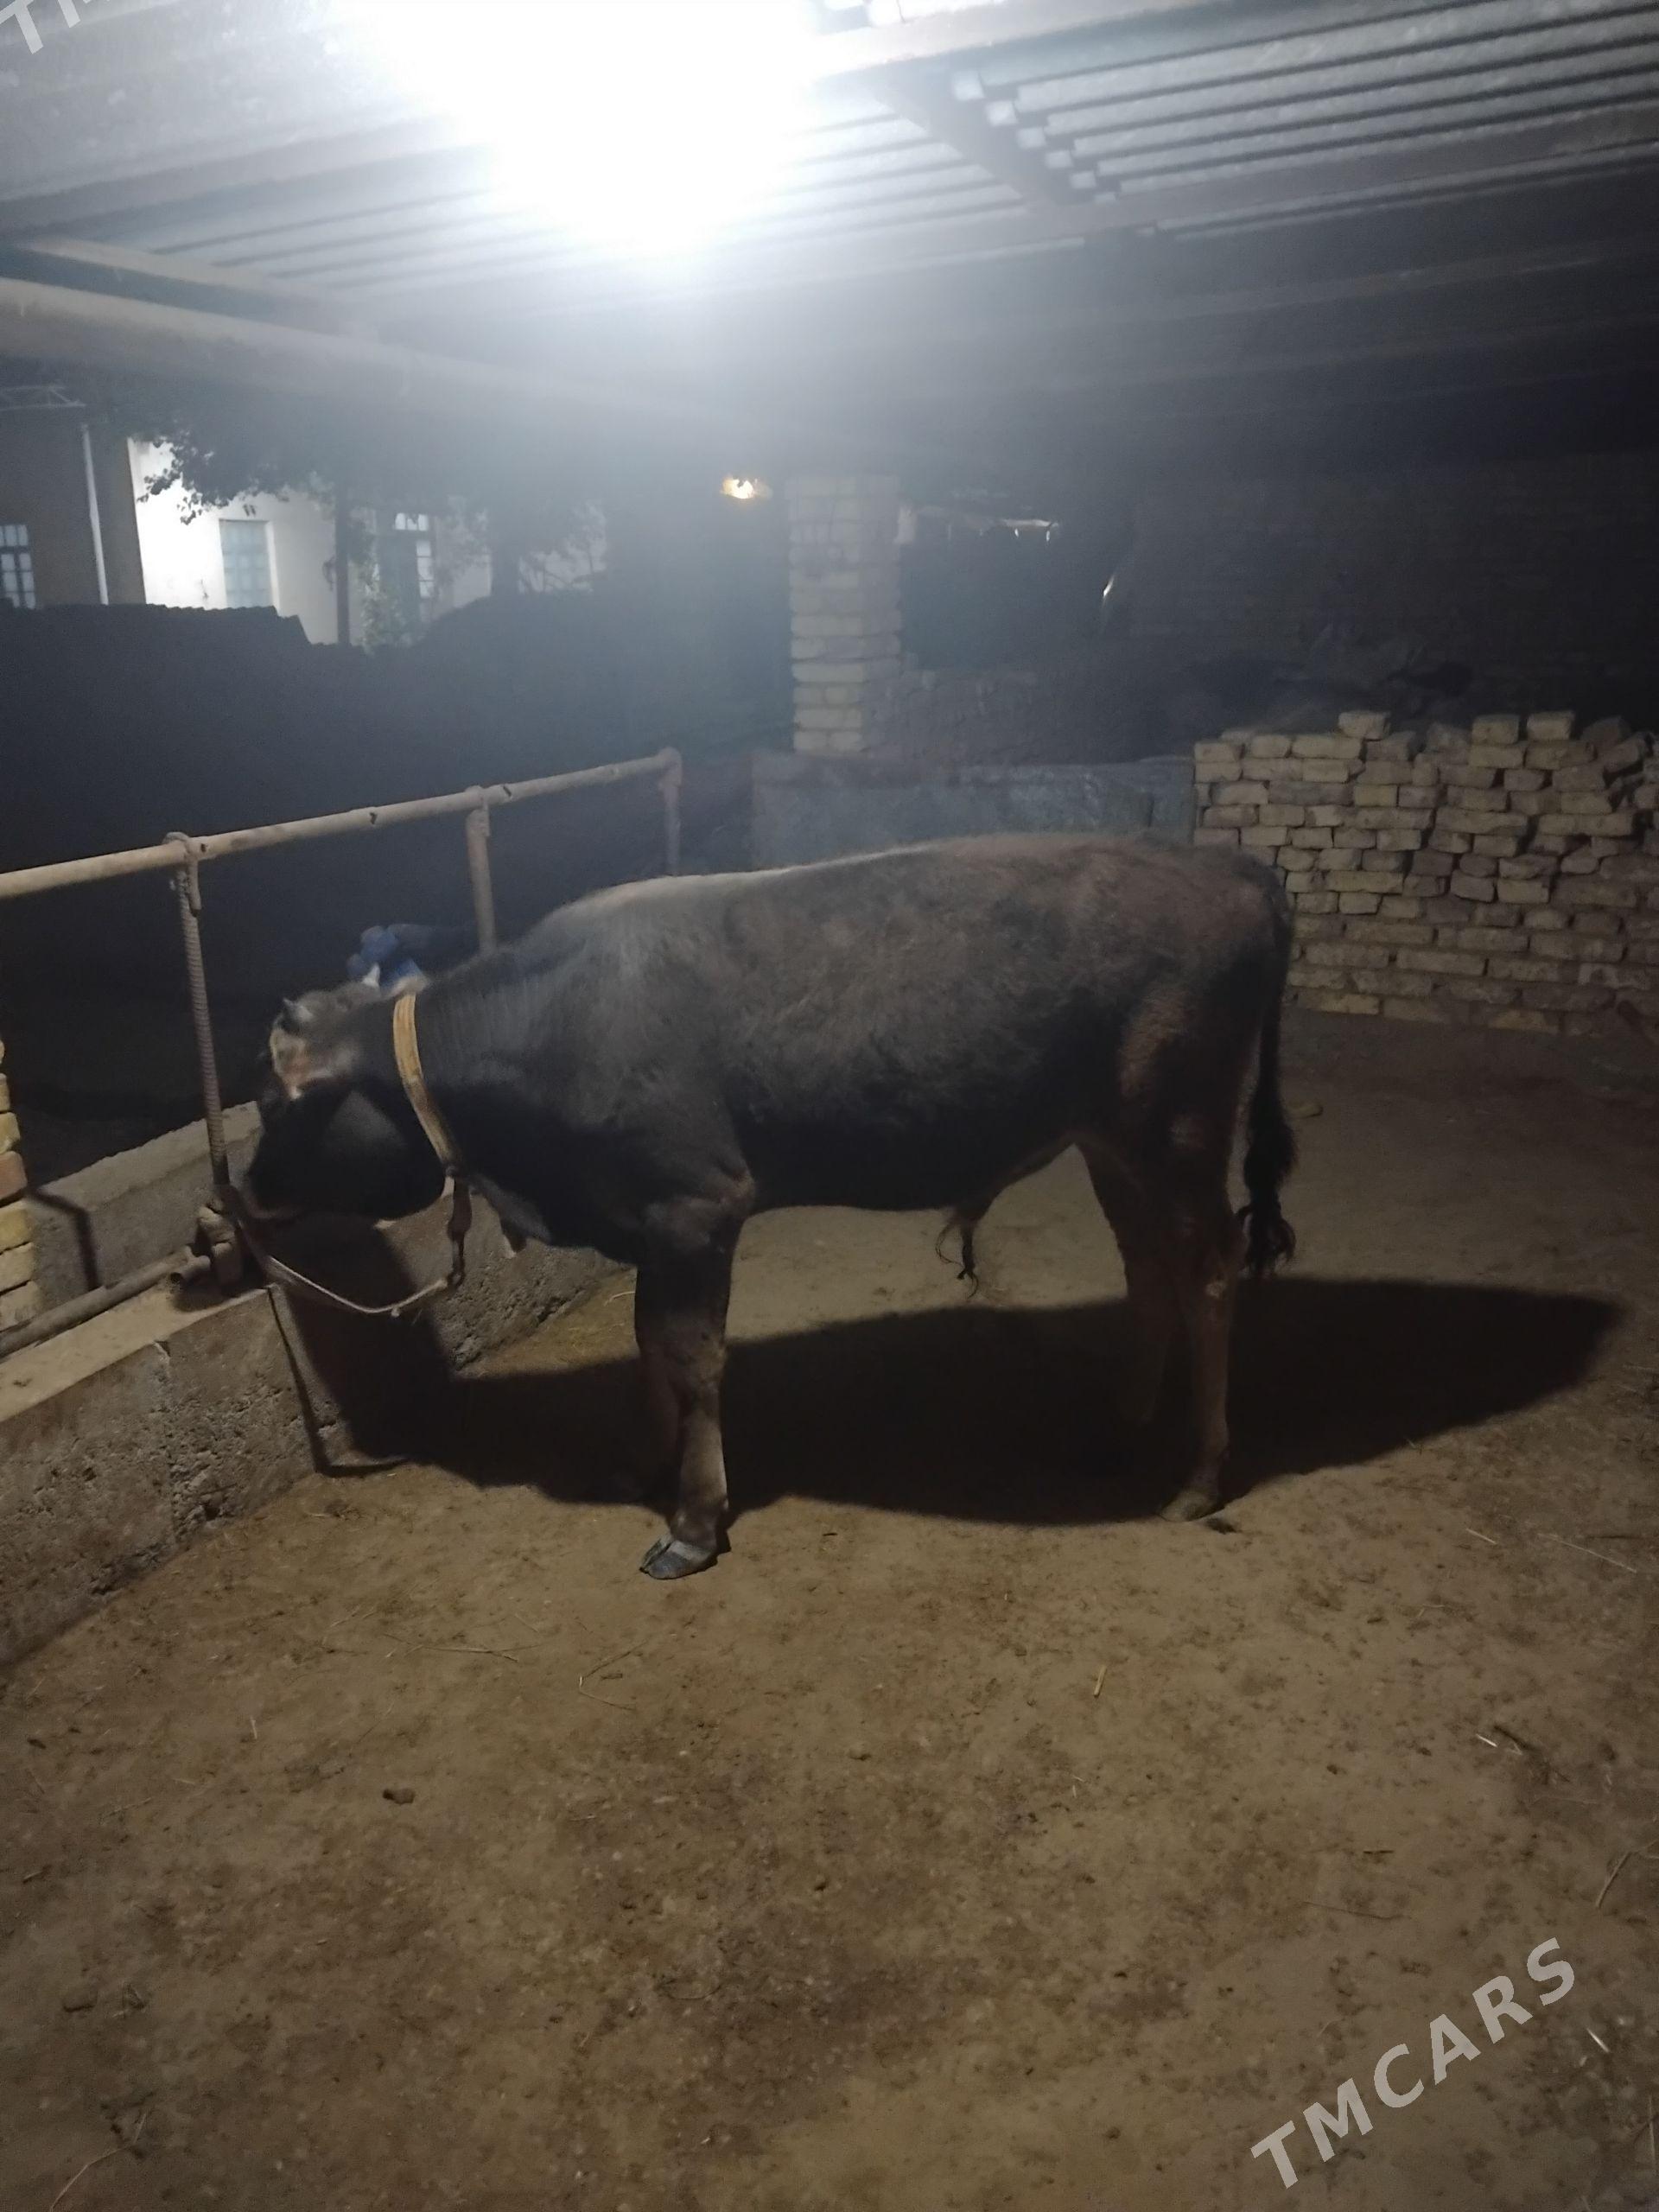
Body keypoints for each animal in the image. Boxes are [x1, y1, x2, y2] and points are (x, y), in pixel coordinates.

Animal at [245, 834, 1296, 1579]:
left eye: (275, 1104)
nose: (237, 1197)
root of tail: (1232, 866)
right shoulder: (651, 1220)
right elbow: (647, 1338)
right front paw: (644, 1460)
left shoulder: (698, 1204)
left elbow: (693, 1353)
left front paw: (694, 1519)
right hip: (1111, 1141)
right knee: (1147, 1264)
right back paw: (1125, 1418)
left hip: (1178, 1128)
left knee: (1208, 1273)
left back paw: (1200, 1474)